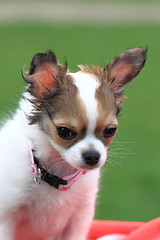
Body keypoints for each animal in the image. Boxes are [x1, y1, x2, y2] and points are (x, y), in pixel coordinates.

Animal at [0, 47, 146, 240]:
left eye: (110, 130)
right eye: (64, 131)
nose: (92, 156)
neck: (58, 173)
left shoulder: (79, 217)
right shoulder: (7, 215)